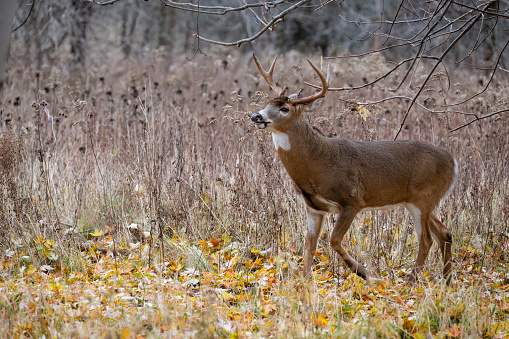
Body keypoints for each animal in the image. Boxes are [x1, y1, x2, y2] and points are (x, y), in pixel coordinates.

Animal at [250, 54, 456, 286]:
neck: (317, 164)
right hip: (424, 201)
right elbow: (309, 246)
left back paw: (411, 282)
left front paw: (366, 273)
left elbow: (333, 240)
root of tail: (453, 163)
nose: (256, 116)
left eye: (285, 109)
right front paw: (305, 283)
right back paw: (447, 282)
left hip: (422, 198)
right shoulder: (314, 207)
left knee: (427, 240)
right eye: (267, 103)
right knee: (445, 234)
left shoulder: (352, 200)